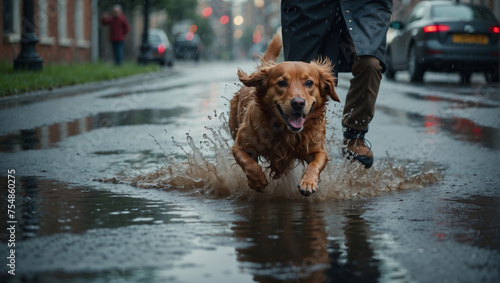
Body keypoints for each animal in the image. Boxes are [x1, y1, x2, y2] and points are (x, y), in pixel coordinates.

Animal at [229, 34, 340, 196]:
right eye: (281, 83)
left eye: (309, 82)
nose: (298, 103)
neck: (285, 132)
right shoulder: (240, 146)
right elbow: (248, 162)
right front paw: (257, 180)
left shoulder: (317, 149)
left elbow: (316, 163)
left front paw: (308, 182)